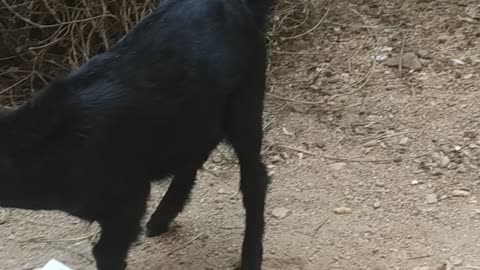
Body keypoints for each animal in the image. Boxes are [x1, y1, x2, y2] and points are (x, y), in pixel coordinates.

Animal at [0, 0, 272, 268]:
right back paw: (161, 218)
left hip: (245, 102)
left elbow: (106, 251)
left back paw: (250, 257)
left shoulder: (128, 197)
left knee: (254, 178)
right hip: (195, 115)